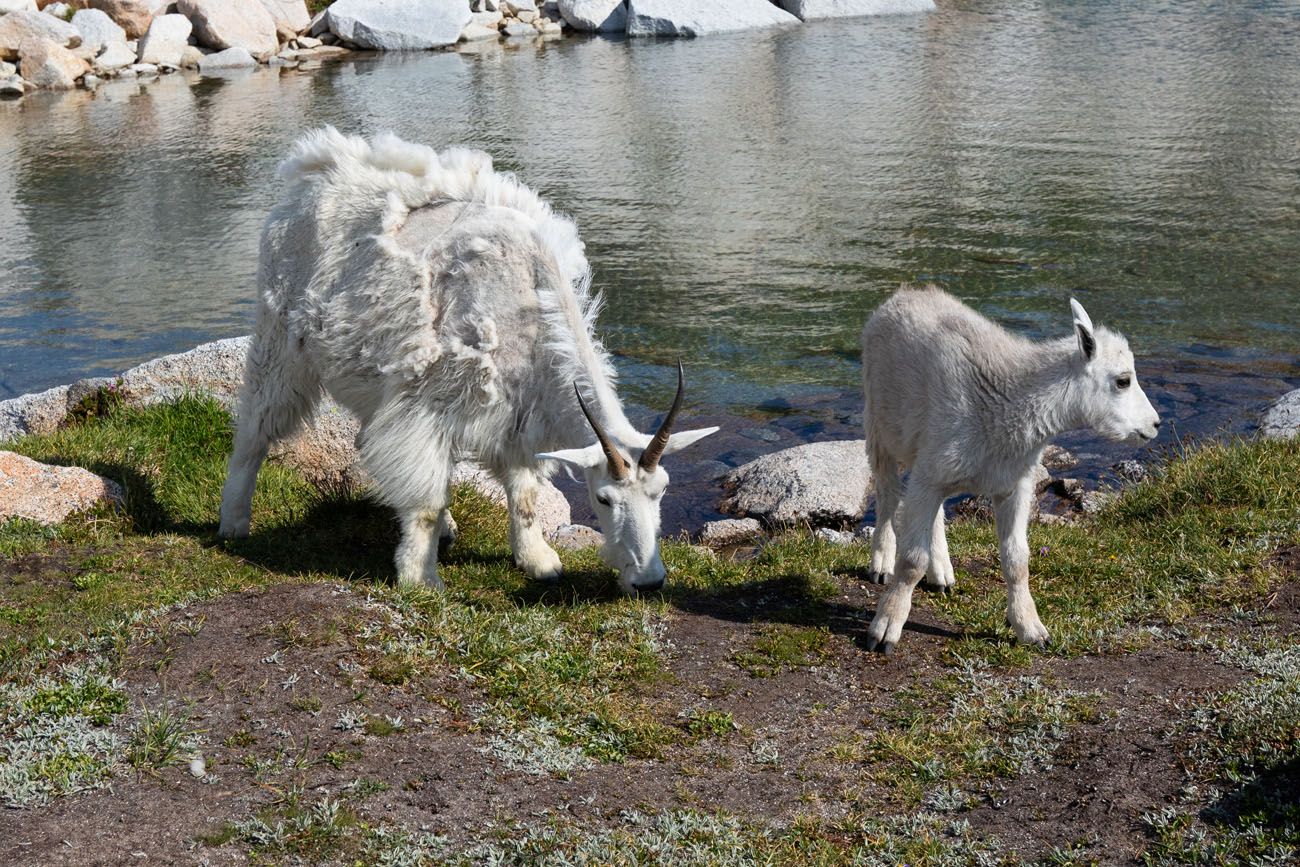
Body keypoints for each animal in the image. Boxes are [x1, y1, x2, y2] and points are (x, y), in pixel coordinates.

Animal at [218, 128, 717, 592]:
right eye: (604, 499)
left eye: (662, 490)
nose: (648, 581)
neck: (528, 302)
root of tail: (306, 178)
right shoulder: (427, 405)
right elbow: (425, 501)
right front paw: (421, 579)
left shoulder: (517, 413)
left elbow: (525, 493)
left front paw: (539, 561)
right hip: (279, 337)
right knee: (255, 427)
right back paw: (233, 523)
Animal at [863, 288, 1159, 655]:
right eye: (1123, 381)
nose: (1155, 424)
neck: (1008, 403)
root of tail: (904, 293)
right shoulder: (932, 472)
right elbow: (911, 560)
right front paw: (885, 628)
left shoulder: (1013, 484)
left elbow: (1018, 561)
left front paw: (1031, 629)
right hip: (879, 425)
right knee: (888, 495)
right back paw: (881, 562)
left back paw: (942, 572)